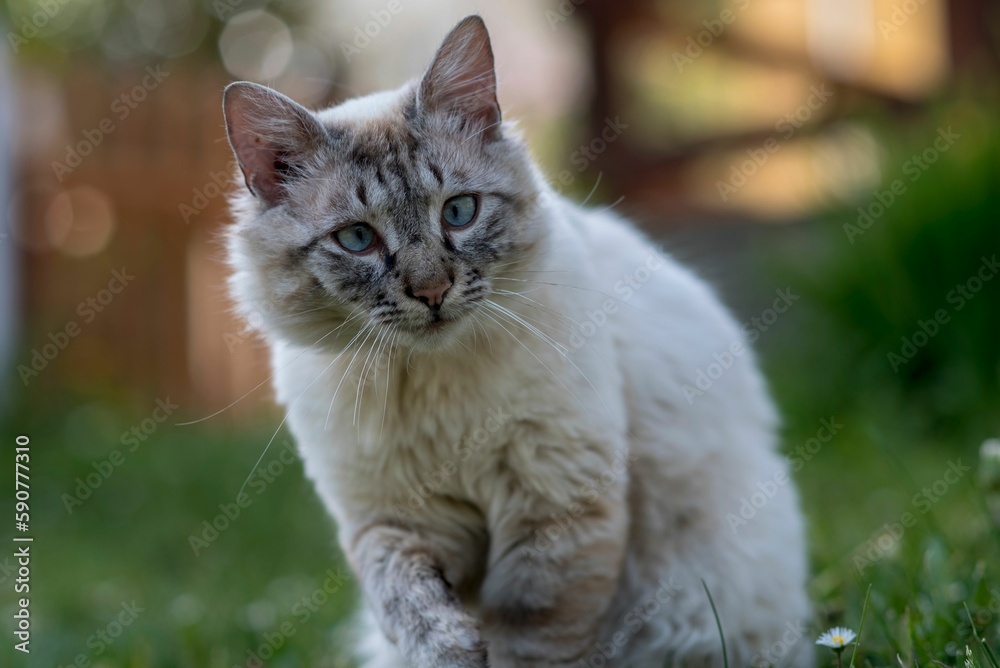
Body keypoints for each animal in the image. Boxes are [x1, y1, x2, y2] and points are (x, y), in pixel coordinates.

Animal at [225, 11, 812, 668]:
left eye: (458, 212)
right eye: (357, 239)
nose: (432, 291)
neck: (436, 389)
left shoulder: (554, 517)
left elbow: (529, 644)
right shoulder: (393, 520)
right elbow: (407, 599)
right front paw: (450, 649)